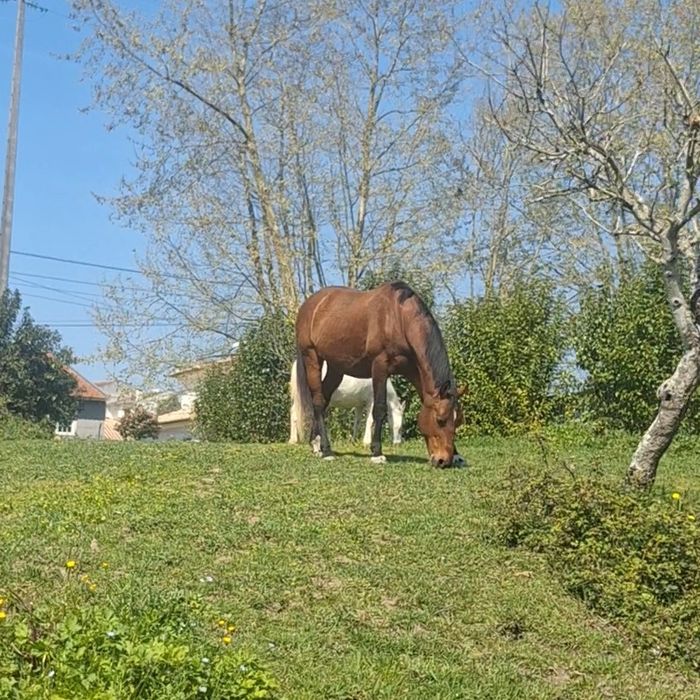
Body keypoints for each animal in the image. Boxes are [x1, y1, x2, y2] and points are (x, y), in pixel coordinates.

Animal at [294, 281, 464, 466]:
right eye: (440, 420)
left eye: (457, 421)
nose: (443, 460)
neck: (399, 318)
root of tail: (310, 304)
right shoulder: (380, 367)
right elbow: (379, 409)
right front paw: (377, 452)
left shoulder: (414, 371)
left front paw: (457, 455)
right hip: (312, 358)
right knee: (318, 402)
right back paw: (326, 449)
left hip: (336, 368)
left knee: (323, 399)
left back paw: (315, 444)